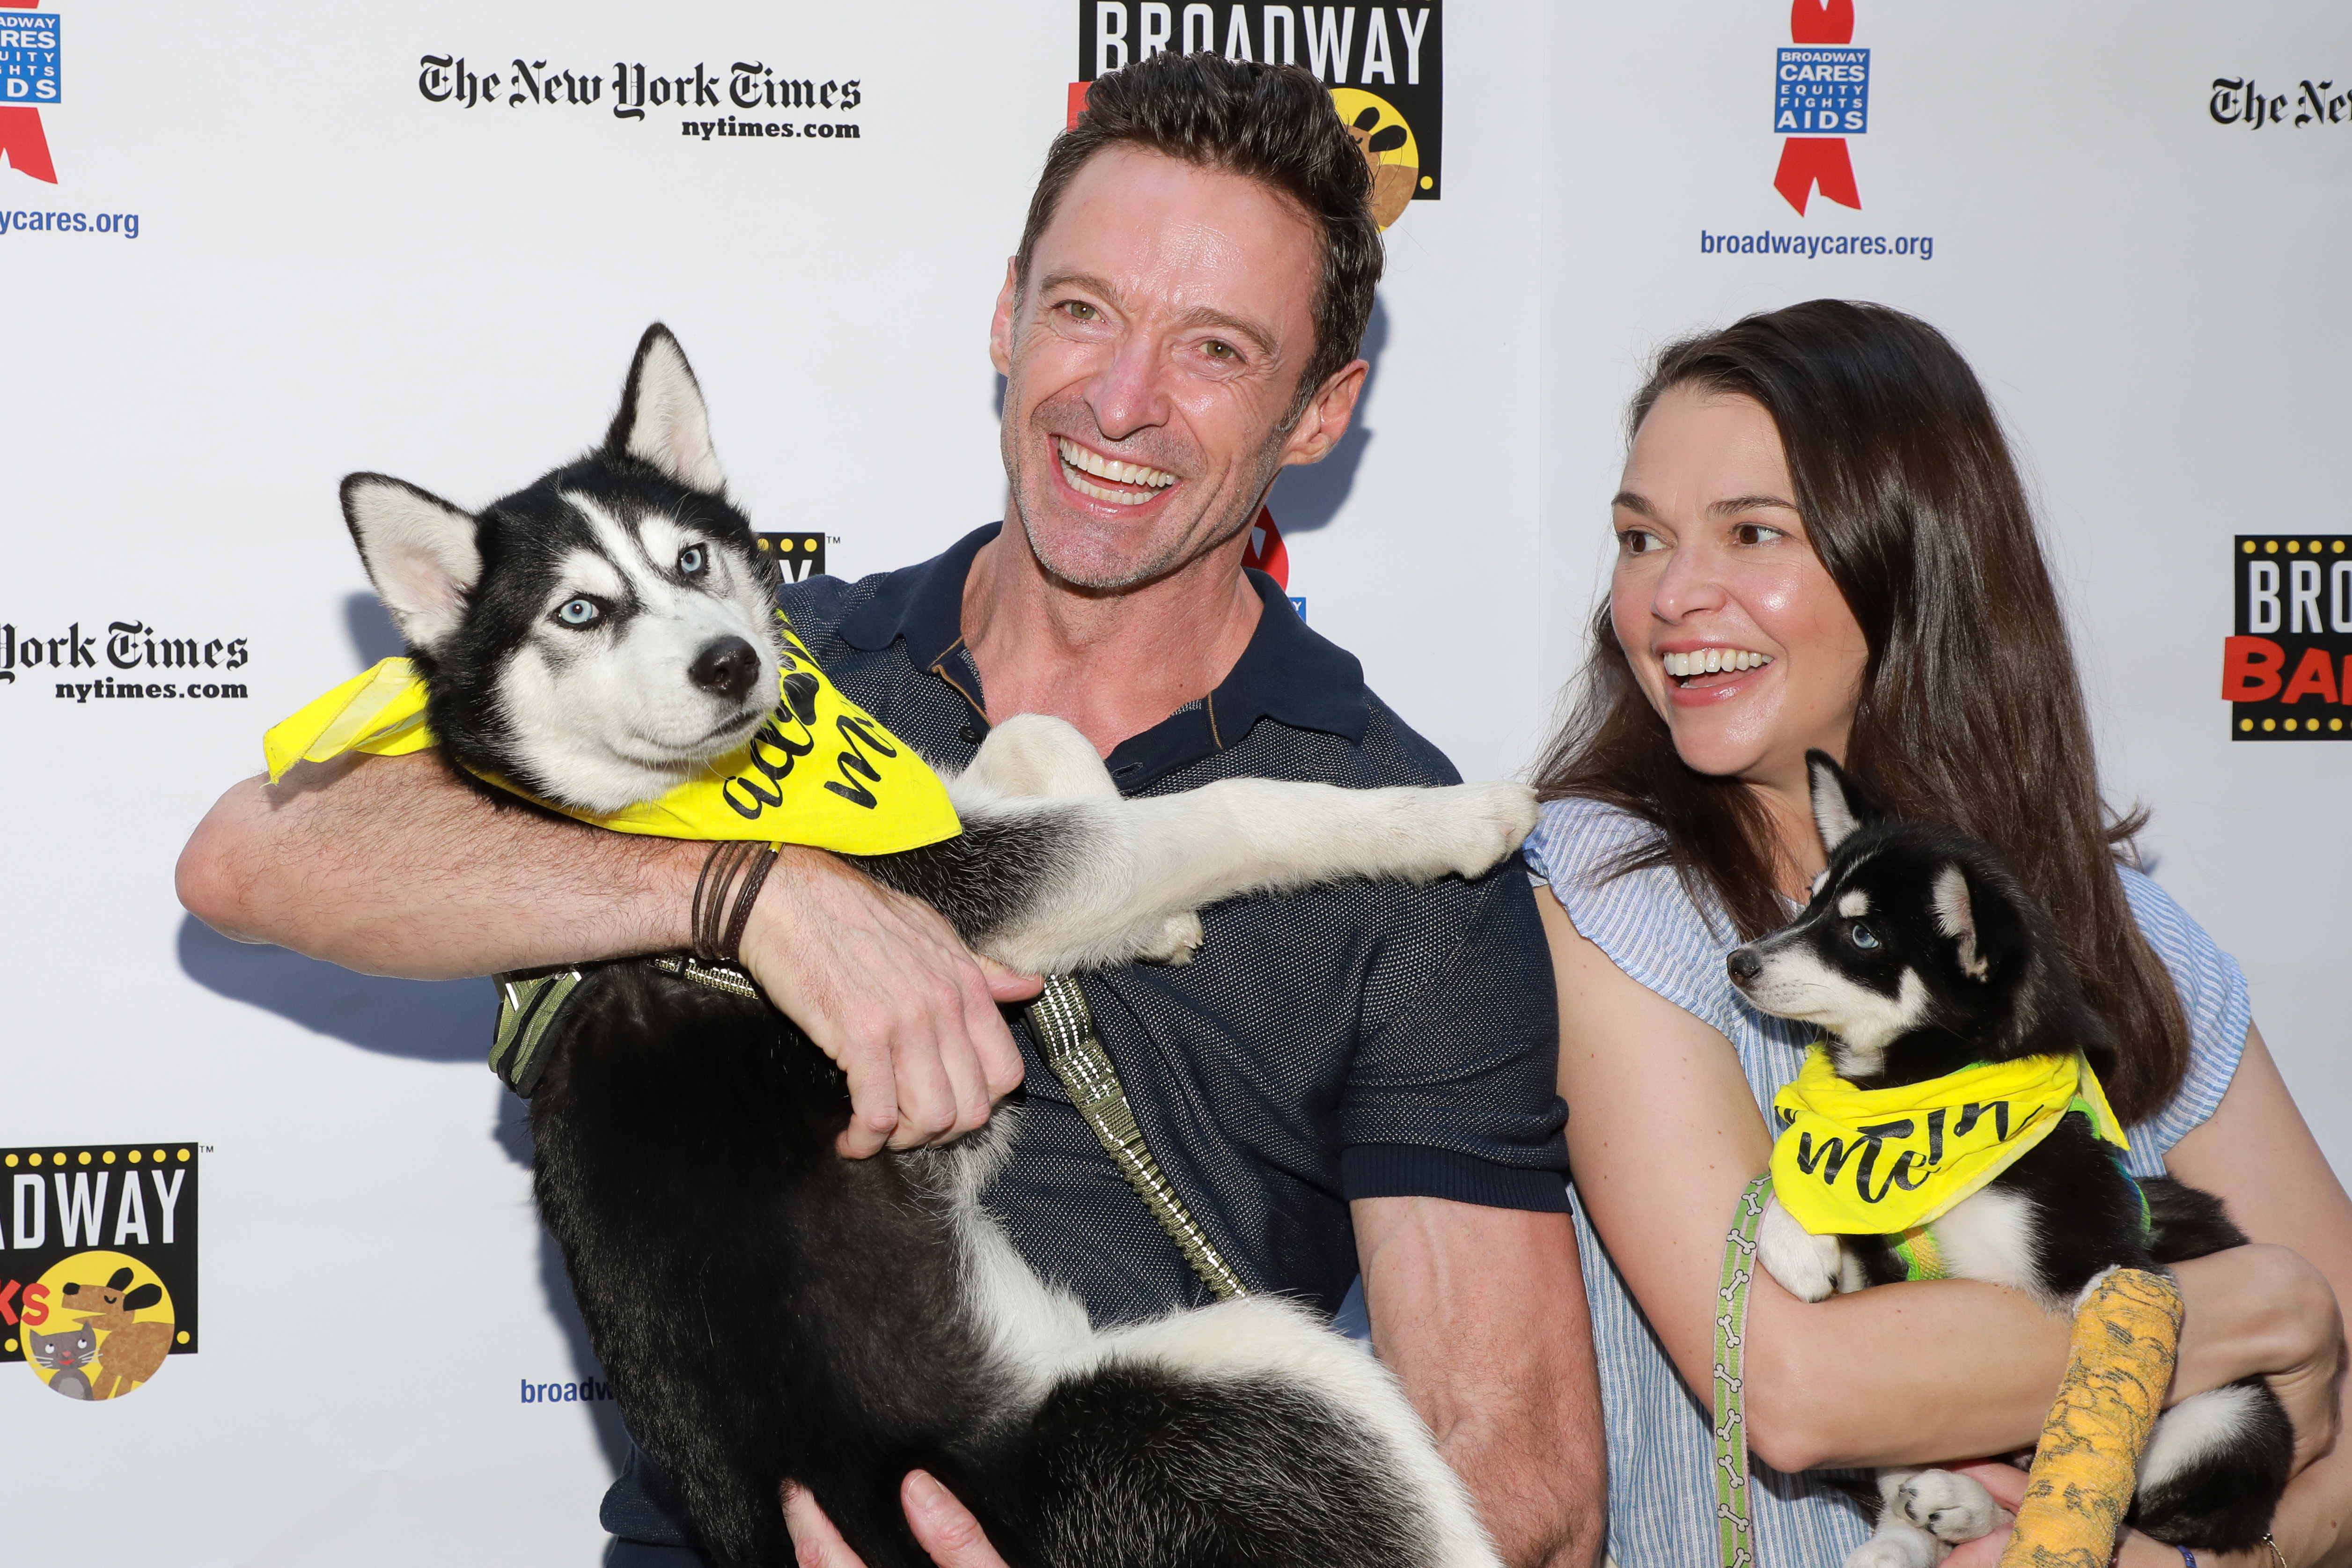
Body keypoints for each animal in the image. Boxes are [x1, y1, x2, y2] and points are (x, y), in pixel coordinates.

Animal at [343, 324, 1524, 1561]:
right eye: (579, 612)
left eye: (690, 562)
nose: (729, 662)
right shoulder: (973, 888)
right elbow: (1230, 811)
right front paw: (1452, 819)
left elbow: (1038, 736)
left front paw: (1150, 915)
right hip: (1251, 1377)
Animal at [1721, 752, 2286, 1561]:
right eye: (1810, 899)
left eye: (1862, 936)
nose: (1738, 961)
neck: (1926, 1108)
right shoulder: (1884, 1273)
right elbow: (1805, 1168)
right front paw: (1796, 1237)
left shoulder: (2104, 1263)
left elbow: (2094, 1406)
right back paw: (1915, 1530)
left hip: (2228, 1419)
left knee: (2120, 1503)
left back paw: (1965, 1508)